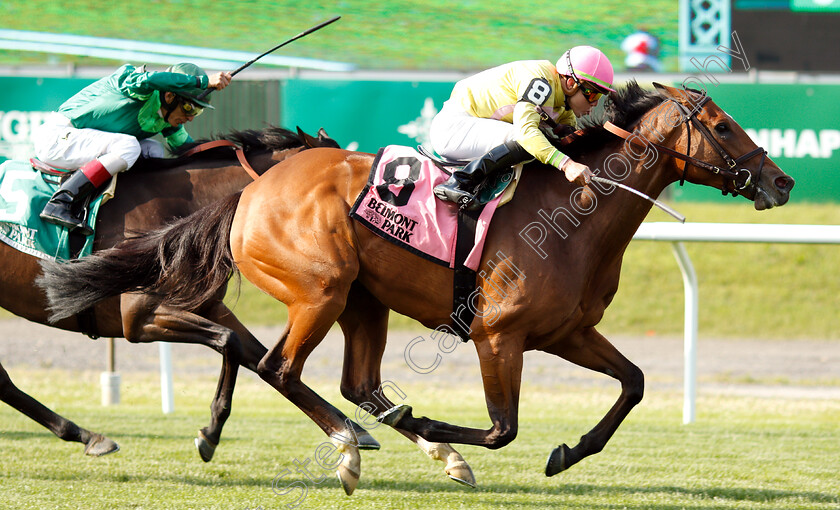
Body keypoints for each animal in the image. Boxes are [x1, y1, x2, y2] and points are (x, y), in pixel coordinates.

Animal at [2, 126, 338, 458]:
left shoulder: (209, 307)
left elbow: (259, 357)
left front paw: (344, 429)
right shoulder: (139, 318)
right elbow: (230, 342)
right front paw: (211, 432)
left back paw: (86, 435)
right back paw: (86, 435)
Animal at [37, 81, 796, 492]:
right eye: (723, 124)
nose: (782, 179)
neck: (575, 211)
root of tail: (252, 190)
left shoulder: (568, 332)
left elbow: (633, 383)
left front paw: (565, 454)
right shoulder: (498, 334)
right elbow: (502, 428)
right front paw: (438, 428)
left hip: (363, 301)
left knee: (355, 383)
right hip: (322, 290)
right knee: (280, 367)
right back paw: (356, 448)